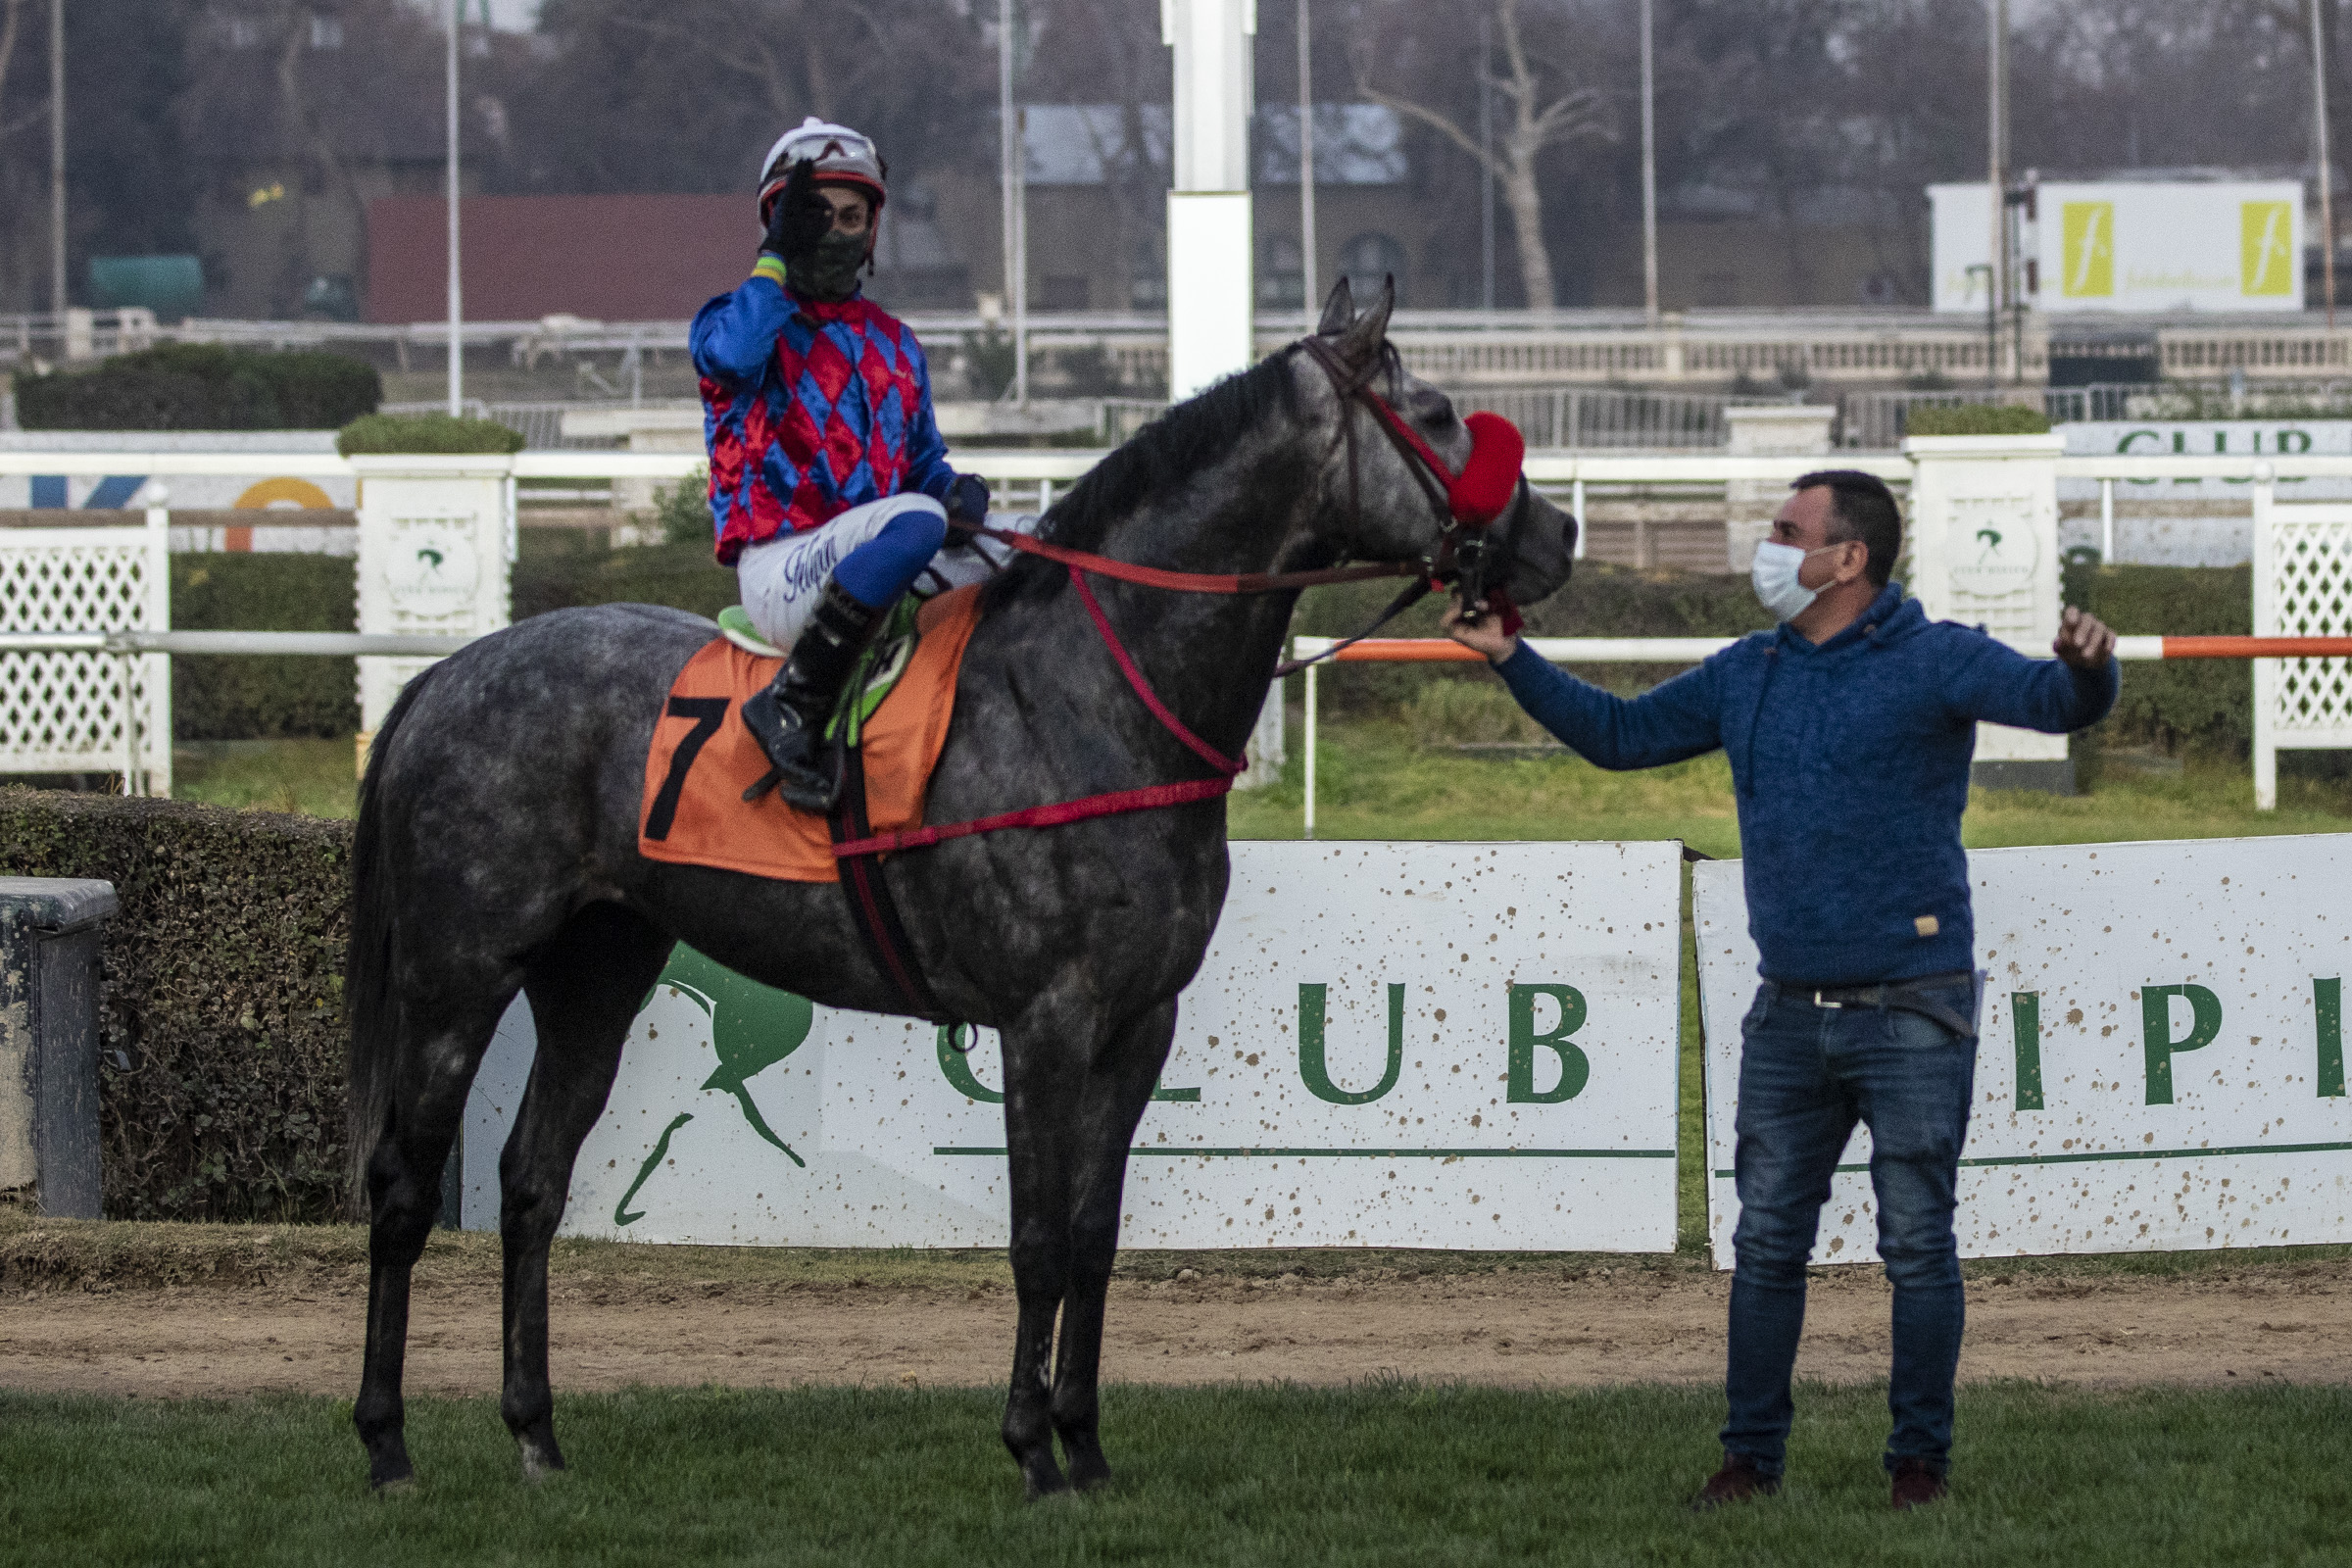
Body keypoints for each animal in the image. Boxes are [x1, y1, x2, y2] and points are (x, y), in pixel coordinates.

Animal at [345, 280, 1579, 1497]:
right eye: (1437, 414)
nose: (1559, 533)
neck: (1096, 699)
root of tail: (444, 673)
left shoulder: (1141, 1021)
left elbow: (1092, 1237)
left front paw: (1085, 1441)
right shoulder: (1046, 1019)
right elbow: (1037, 1242)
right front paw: (1032, 1447)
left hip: (595, 972)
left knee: (531, 1182)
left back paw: (536, 1434)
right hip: (458, 976)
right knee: (402, 1185)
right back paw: (386, 1439)